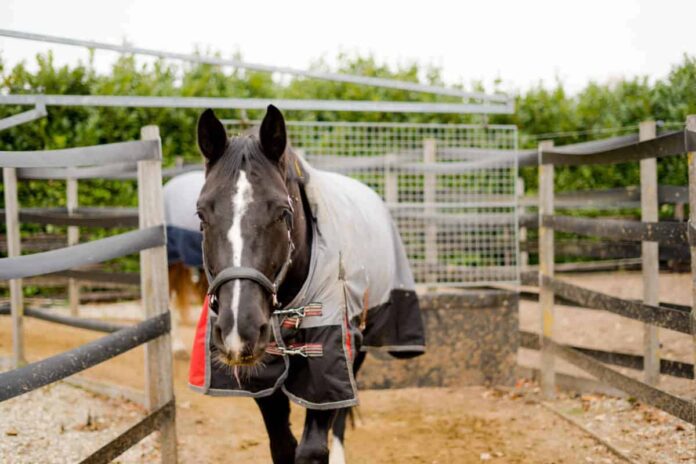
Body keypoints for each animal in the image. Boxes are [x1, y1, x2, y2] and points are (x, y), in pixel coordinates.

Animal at [188, 105, 425, 464]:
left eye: (282, 212)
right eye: (202, 215)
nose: (239, 328)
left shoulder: (329, 352)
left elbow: (313, 446)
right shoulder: (262, 373)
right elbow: (283, 445)